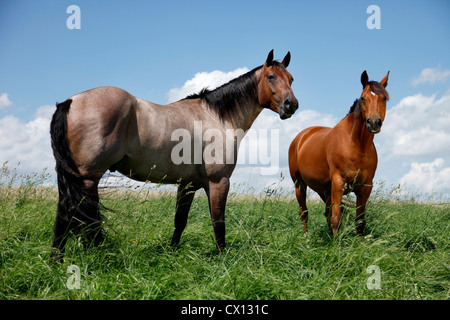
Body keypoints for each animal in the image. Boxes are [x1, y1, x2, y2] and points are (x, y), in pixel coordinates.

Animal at [50, 49, 298, 260]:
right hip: (89, 178)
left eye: (291, 79)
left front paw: (172, 253)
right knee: (77, 215)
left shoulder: (187, 185)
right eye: (271, 77)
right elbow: (218, 221)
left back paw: (56, 261)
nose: (291, 105)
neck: (216, 117)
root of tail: (70, 102)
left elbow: (180, 220)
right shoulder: (218, 181)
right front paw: (222, 257)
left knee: (65, 213)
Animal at [290, 72, 388, 238]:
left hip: (325, 190)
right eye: (363, 98)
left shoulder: (365, 187)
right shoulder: (338, 182)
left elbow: (359, 220)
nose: (374, 122)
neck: (356, 145)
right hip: (300, 184)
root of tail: (301, 136)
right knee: (304, 212)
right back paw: (306, 237)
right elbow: (336, 218)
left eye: (384, 98)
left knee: (327, 213)